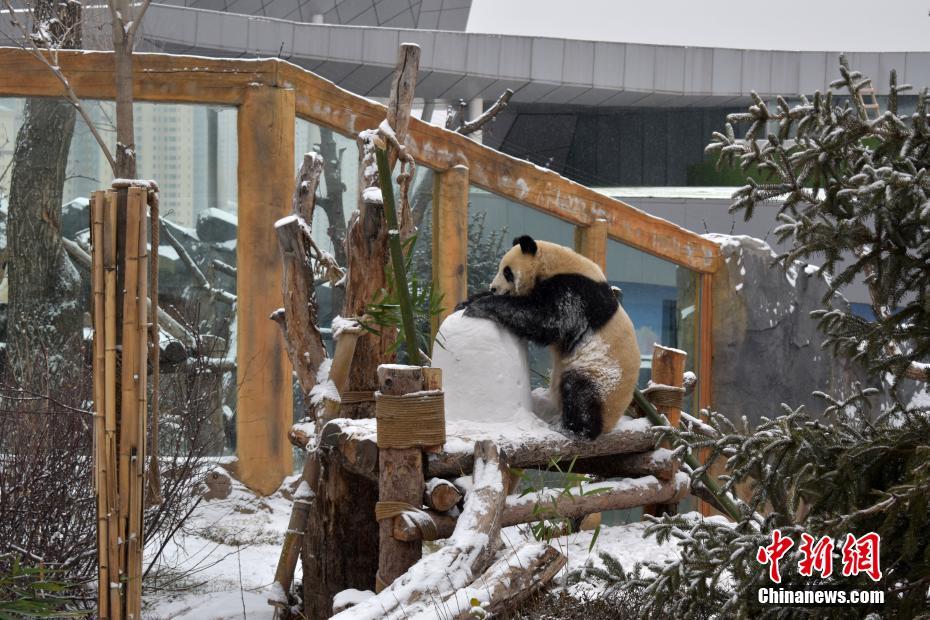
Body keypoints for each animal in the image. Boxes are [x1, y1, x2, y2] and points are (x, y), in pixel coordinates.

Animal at [462, 234, 640, 440]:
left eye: (507, 272)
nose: (493, 288)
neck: (553, 263)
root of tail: (612, 421)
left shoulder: (575, 291)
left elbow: (547, 320)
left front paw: (481, 305)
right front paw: (468, 301)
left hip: (601, 375)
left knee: (581, 392)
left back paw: (574, 429)